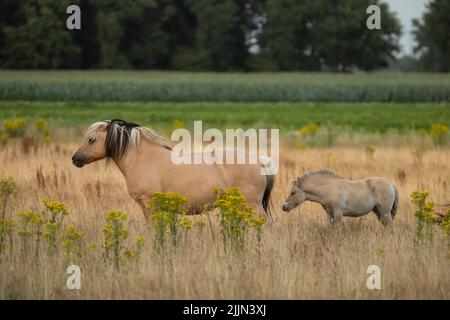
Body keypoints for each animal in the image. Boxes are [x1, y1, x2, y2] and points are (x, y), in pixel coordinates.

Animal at [71, 119, 274, 218]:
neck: (142, 159)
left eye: (91, 139)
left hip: (253, 204)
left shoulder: (149, 205)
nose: (75, 159)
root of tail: (259, 162)